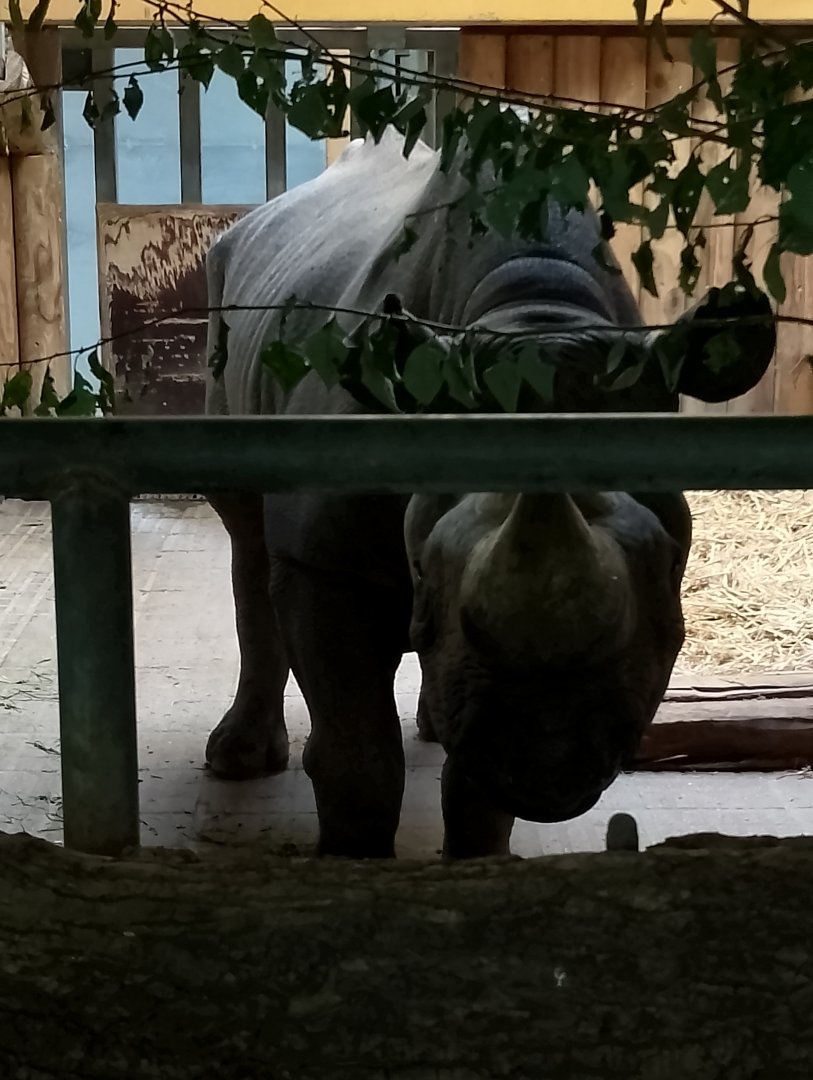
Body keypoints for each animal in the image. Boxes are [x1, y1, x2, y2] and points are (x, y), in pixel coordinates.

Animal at [204, 129, 774, 859]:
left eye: (670, 572)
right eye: (425, 571)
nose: (549, 759)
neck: (534, 314)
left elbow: (474, 786)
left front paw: (480, 858)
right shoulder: (324, 565)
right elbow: (356, 755)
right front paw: (351, 861)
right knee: (246, 534)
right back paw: (238, 761)